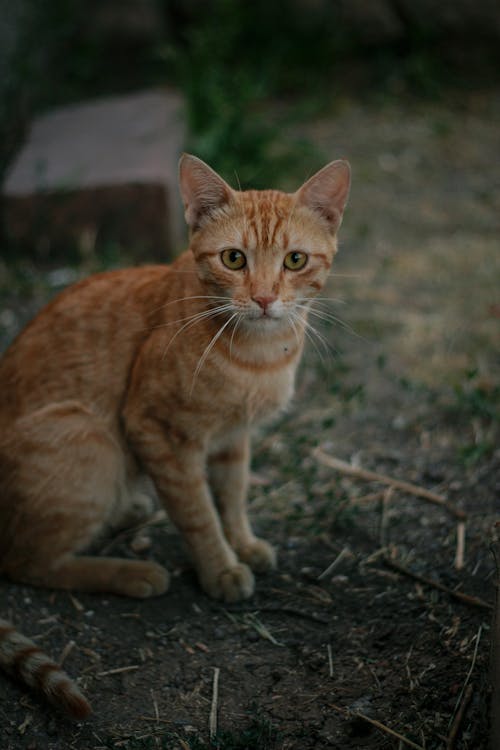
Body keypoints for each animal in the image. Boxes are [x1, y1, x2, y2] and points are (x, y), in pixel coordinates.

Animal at [0, 154, 352, 716]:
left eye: (295, 261)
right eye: (233, 259)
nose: (264, 298)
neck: (257, 356)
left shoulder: (233, 438)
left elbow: (232, 495)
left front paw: (243, 544)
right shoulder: (156, 433)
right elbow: (198, 512)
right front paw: (221, 569)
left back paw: (129, 510)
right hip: (88, 435)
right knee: (25, 559)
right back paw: (131, 573)